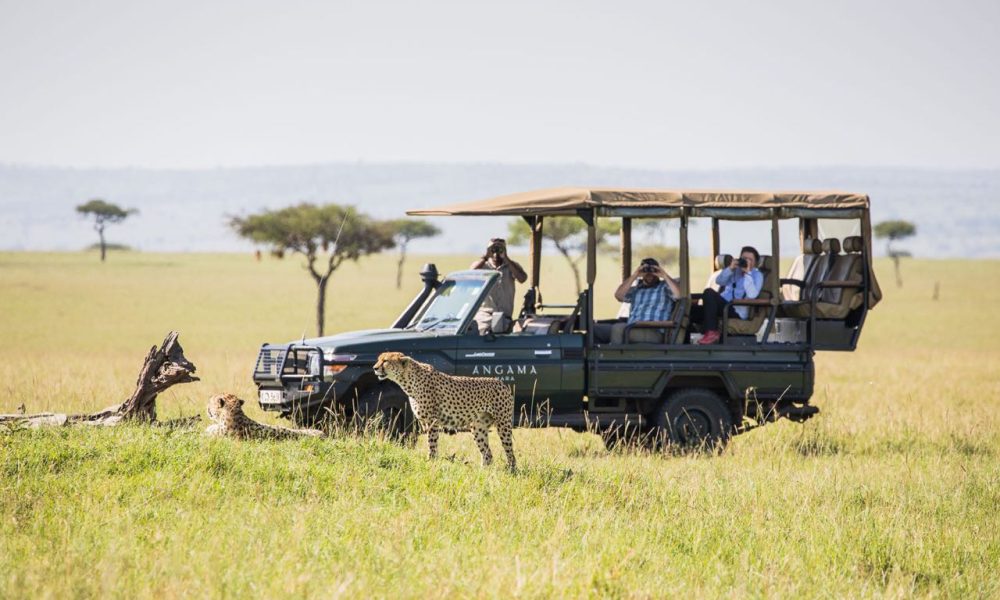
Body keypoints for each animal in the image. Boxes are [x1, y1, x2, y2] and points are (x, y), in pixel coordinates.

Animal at [372, 351, 516, 470]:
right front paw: (432, 462)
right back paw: (483, 472)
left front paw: (430, 462)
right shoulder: (425, 422)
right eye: (378, 359)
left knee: (509, 452)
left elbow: (432, 443)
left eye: (385, 361)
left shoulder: (432, 421)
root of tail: (501, 382)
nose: (374, 368)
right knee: (488, 454)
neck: (408, 380)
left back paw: (512, 470)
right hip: (478, 428)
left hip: (503, 425)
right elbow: (432, 443)